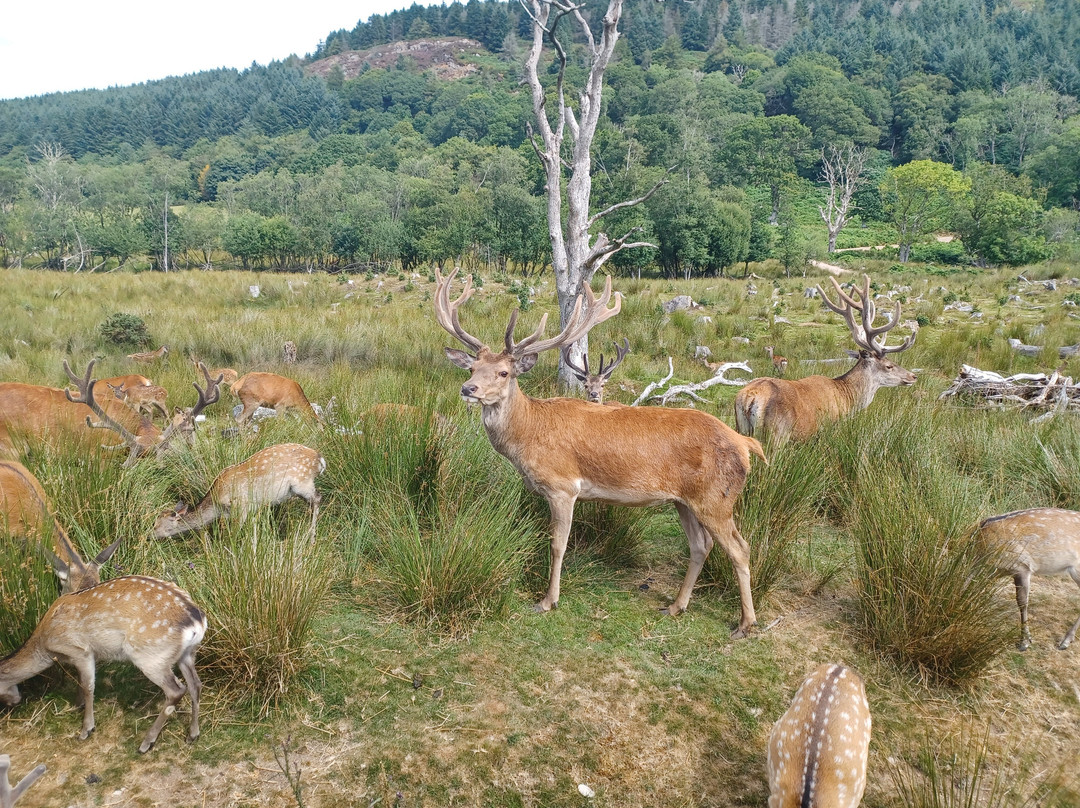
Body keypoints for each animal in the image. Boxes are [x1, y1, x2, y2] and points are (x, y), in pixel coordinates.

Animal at [0, 574, 205, 753]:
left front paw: (86, 730)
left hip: (150, 656)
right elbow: (82, 683)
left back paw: (146, 743)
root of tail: (197, 622)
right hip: (186, 654)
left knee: (176, 690)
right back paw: (192, 735)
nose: (12, 704)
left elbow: (88, 686)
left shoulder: (79, 650)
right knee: (195, 684)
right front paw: (77, 705)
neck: (45, 645)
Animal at [154, 443, 325, 540]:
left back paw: (311, 539)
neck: (218, 505)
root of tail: (320, 459)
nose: (150, 537)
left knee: (318, 498)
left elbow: (233, 535)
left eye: (156, 525)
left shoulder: (241, 505)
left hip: (302, 482)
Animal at [434, 268, 767, 638]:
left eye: (504, 372)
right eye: (471, 368)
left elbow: (557, 544)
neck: (529, 434)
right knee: (701, 546)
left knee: (740, 548)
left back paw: (746, 623)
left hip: (716, 498)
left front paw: (547, 601)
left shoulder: (563, 486)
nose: (468, 389)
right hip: (686, 501)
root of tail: (747, 444)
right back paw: (675, 606)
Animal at [735, 275, 916, 443]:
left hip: (741, 427)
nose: (913, 376)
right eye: (889, 365)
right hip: (778, 433)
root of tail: (749, 398)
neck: (847, 399)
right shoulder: (828, 428)